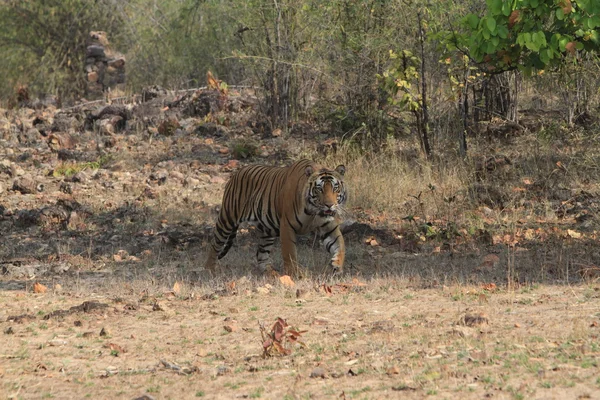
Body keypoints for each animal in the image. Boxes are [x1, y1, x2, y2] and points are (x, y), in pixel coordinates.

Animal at [205, 158, 350, 276]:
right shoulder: (287, 226)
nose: (329, 205)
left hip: (267, 231)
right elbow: (289, 252)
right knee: (215, 244)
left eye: (335, 188)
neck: (313, 212)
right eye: (319, 189)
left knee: (261, 254)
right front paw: (294, 273)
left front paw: (337, 265)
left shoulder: (329, 227)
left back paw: (270, 273)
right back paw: (210, 270)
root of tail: (238, 172)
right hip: (227, 219)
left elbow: (340, 245)